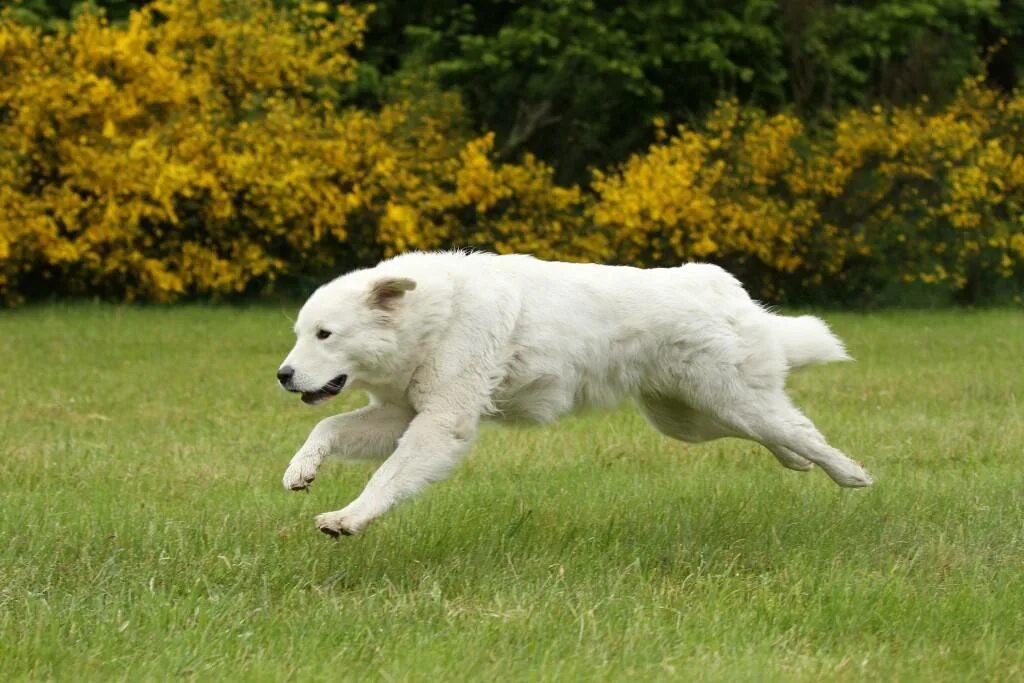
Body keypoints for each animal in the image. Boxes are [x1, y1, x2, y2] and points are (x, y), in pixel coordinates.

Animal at [276, 250, 868, 540]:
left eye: (325, 335)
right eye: (301, 334)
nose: (283, 375)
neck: (434, 316)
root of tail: (716, 283)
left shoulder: (441, 424)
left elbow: (384, 480)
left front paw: (348, 519)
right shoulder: (401, 415)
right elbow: (326, 428)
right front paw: (301, 469)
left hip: (728, 401)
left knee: (800, 430)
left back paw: (851, 474)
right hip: (688, 420)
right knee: (780, 432)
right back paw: (798, 464)